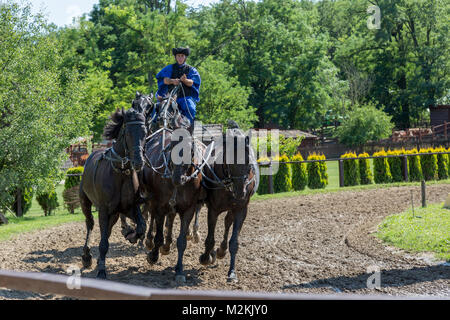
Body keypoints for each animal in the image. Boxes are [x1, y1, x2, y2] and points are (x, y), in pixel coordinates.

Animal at [80, 94, 150, 278]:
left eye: (144, 132)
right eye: (128, 132)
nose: (138, 161)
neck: (120, 173)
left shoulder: (129, 207)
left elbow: (142, 226)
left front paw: (131, 234)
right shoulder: (104, 210)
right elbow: (103, 242)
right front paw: (101, 270)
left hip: (115, 214)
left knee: (108, 230)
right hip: (85, 202)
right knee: (90, 224)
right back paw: (87, 256)